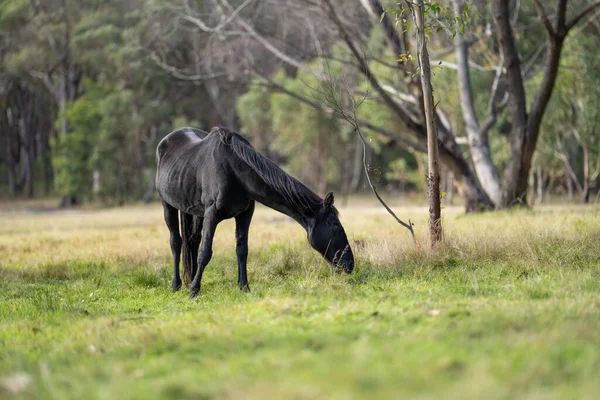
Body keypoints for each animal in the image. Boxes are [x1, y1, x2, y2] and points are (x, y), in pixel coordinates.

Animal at [155, 126, 354, 296]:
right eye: (336, 227)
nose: (350, 264)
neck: (234, 170)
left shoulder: (245, 214)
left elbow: (242, 250)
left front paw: (244, 287)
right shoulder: (212, 215)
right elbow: (205, 253)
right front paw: (194, 291)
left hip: (196, 212)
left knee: (192, 242)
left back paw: (190, 279)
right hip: (168, 206)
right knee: (176, 242)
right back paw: (177, 285)